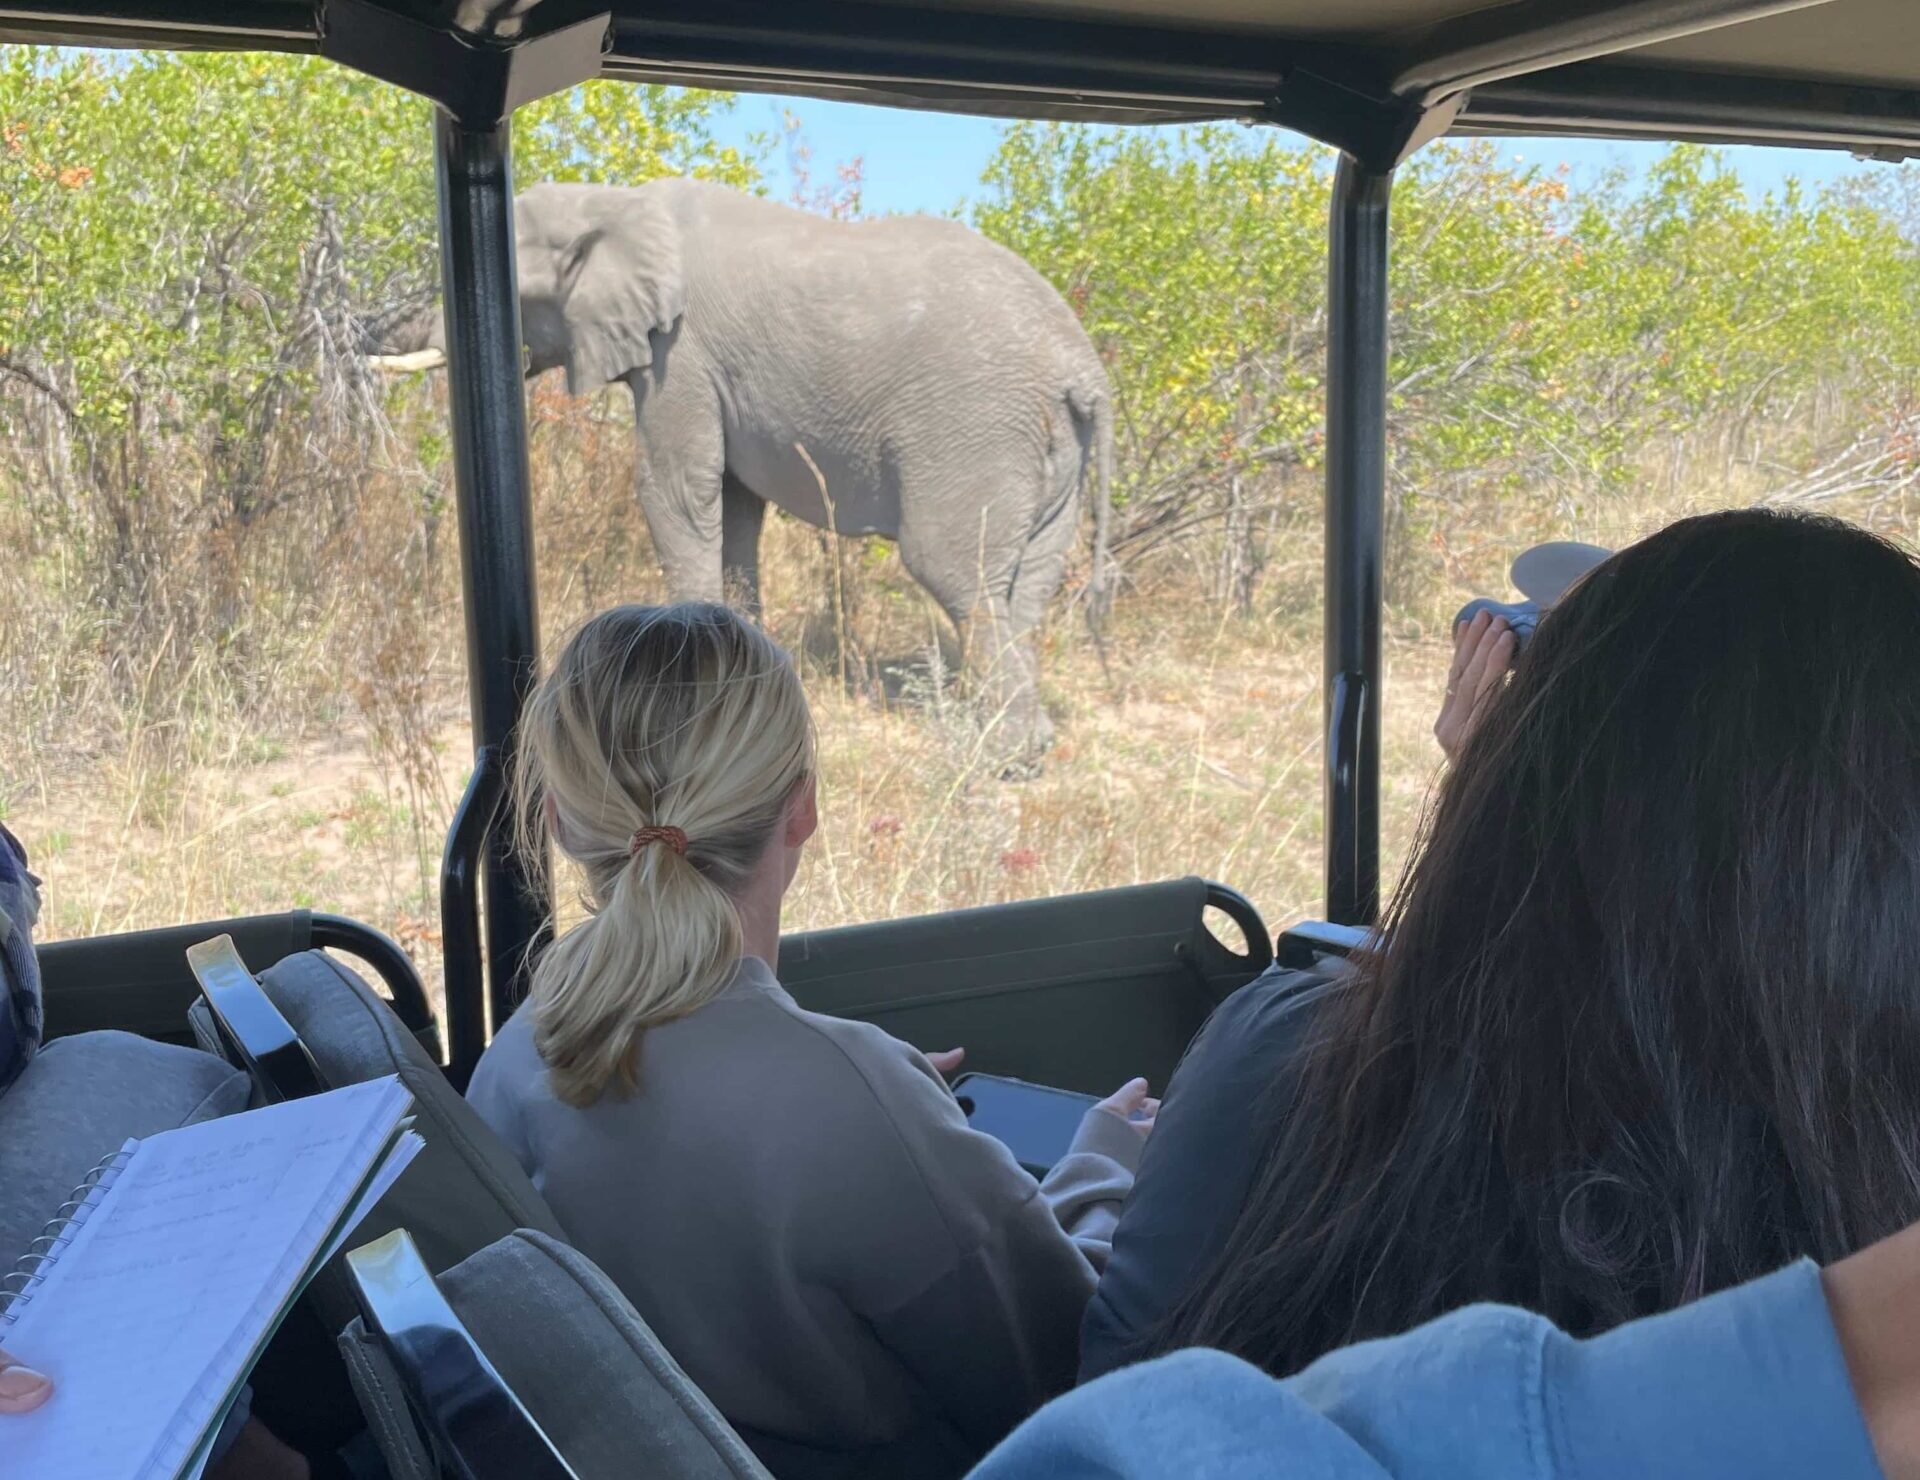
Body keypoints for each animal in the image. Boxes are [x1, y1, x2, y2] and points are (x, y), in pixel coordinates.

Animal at [374, 179, 1113, 764]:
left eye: (517, 299)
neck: (614, 202)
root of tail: (1083, 369)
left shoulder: (681, 352)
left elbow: (675, 492)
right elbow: (732, 508)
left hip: (976, 428)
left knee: (958, 573)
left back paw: (1000, 758)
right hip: (1049, 451)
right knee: (1024, 587)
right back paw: (1017, 739)